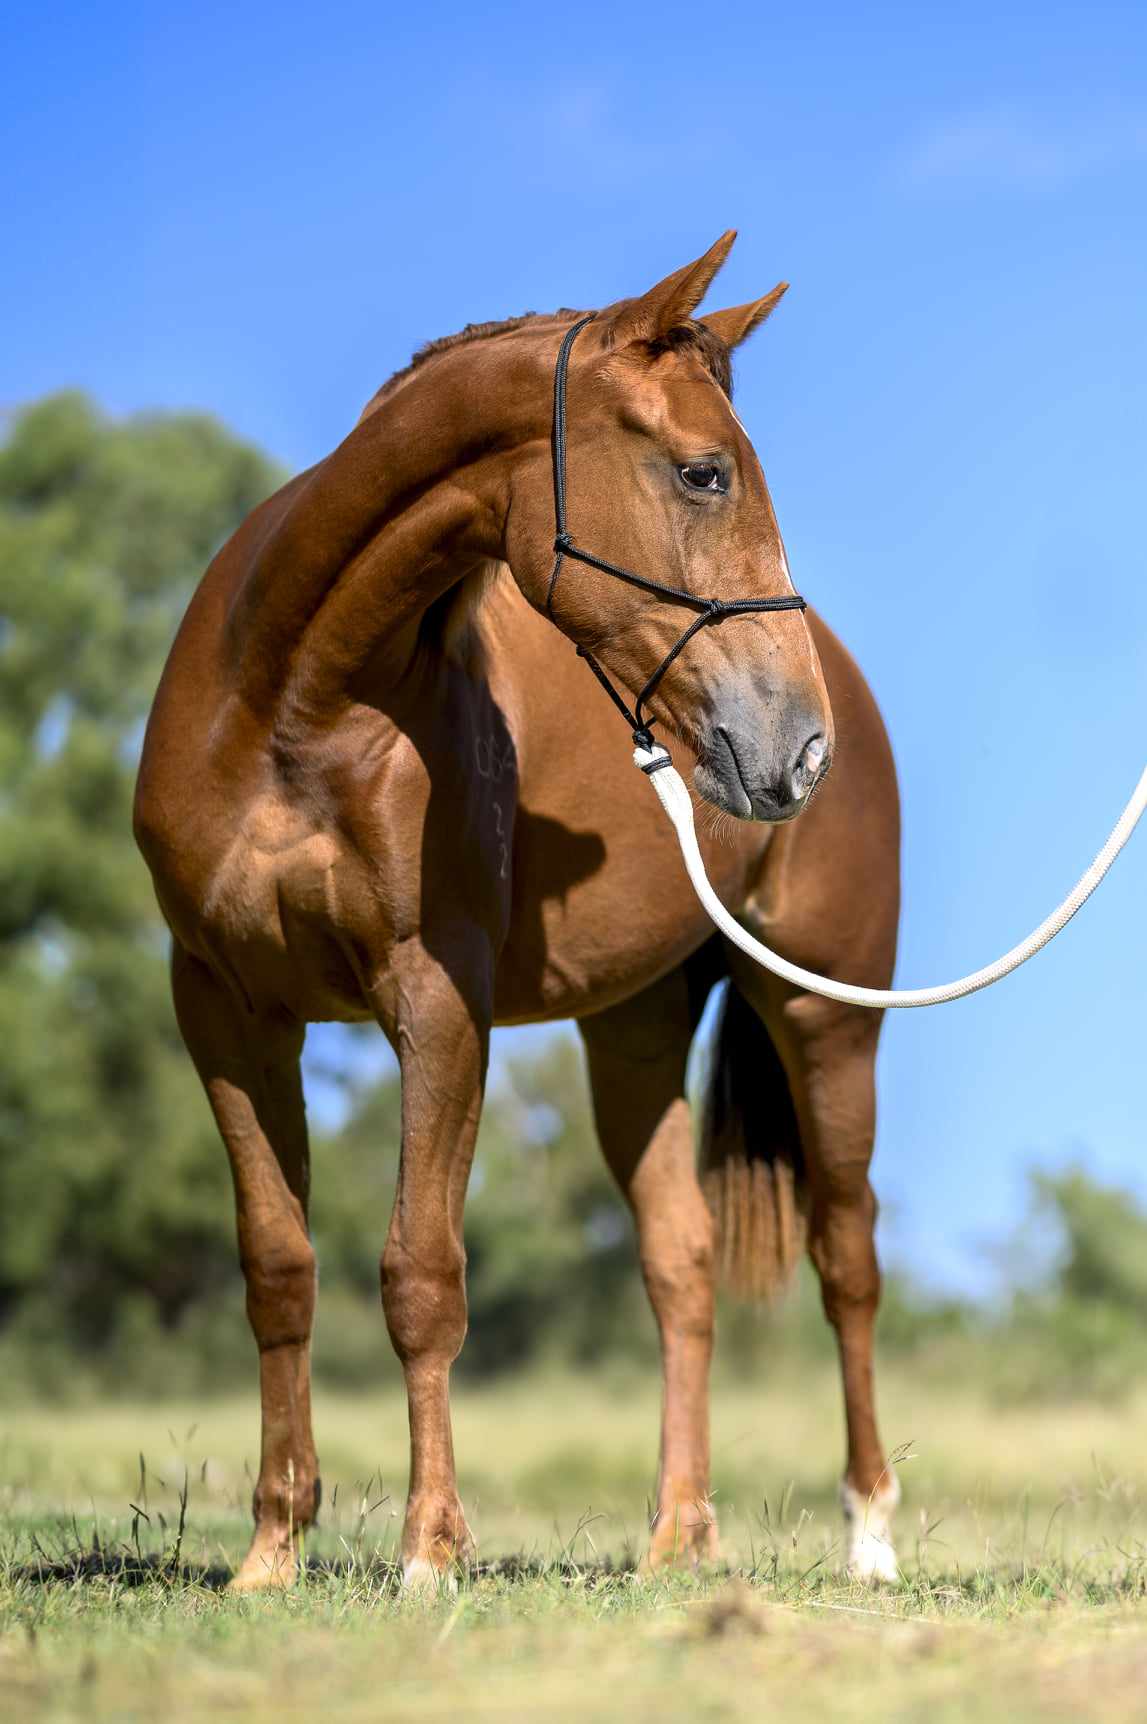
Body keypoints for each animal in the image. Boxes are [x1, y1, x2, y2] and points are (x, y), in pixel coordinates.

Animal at [134, 230, 901, 1589]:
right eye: (702, 471)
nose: (795, 745)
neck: (293, 699)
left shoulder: (437, 1000)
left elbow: (421, 1271)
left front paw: (428, 1551)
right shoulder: (223, 1006)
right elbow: (278, 1266)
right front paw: (271, 1547)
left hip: (825, 1014)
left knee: (845, 1256)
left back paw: (868, 1535)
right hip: (633, 1029)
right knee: (680, 1262)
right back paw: (676, 1536)